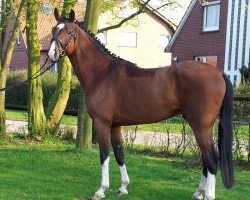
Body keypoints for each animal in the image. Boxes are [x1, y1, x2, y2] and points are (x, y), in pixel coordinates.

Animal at [47, 9, 233, 200]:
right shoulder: (115, 126)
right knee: (206, 158)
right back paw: (198, 192)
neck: (102, 73)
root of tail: (218, 73)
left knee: (211, 159)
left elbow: (104, 155)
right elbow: (119, 155)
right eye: (54, 29)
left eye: (70, 32)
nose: (52, 53)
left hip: (200, 125)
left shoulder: (101, 123)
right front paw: (123, 187)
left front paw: (101, 190)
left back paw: (208, 194)